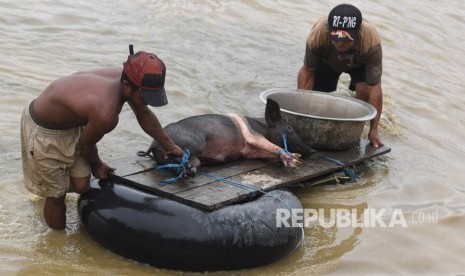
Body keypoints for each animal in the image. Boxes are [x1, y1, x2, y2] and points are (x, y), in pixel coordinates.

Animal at [136, 98, 314, 177]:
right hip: (195, 143)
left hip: (194, 157)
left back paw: (187, 170)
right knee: (175, 155)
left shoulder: (252, 152)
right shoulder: (254, 136)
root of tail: (153, 144)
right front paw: (293, 160)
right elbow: (274, 146)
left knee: (185, 163)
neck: (263, 126)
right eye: (290, 128)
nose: (312, 150)